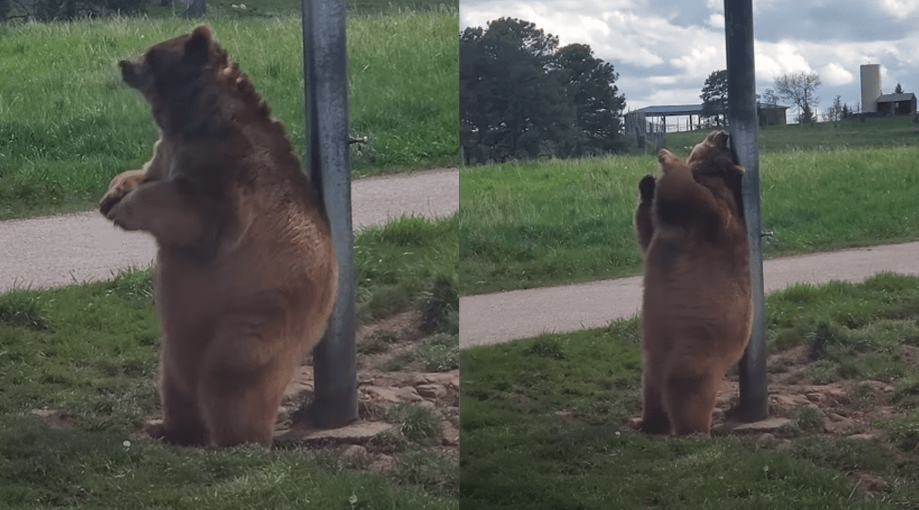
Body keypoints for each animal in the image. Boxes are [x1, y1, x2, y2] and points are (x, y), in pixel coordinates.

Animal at [99, 26, 339, 448]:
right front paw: (113, 193)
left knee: (231, 379)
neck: (192, 119)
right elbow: (145, 172)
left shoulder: (227, 172)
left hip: (256, 314)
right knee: (175, 383)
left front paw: (125, 209)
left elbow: (192, 210)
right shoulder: (168, 149)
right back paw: (170, 429)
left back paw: (237, 439)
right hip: (177, 346)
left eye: (153, 54)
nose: (125, 63)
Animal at [633, 131, 752, 435]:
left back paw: (689, 430)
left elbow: (692, 195)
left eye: (724, 145)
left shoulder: (717, 219)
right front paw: (647, 183)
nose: (723, 132)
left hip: (693, 355)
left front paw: (667, 157)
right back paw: (645, 422)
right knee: (651, 392)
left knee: (685, 392)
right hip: (653, 362)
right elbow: (647, 230)